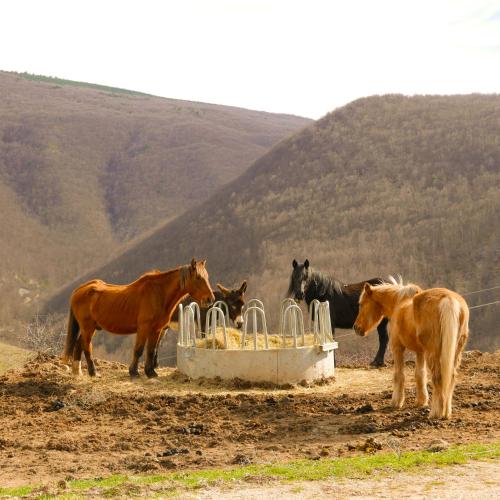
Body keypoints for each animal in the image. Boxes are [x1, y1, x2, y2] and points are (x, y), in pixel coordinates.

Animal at [62, 260, 213, 376]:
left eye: (207, 276)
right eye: (198, 278)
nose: (210, 299)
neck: (158, 293)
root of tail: (79, 290)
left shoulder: (157, 330)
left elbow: (151, 350)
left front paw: (150, 372)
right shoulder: (143, 328)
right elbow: (139, 350)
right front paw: (134, 372)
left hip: (90, 328)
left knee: (79, 344)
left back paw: (78, 371)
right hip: (88, 327)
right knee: (86, 346)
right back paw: (93, 372)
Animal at [354, 280, 466, 420]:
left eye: (361, 304)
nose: (356, 328)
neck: (398, 303)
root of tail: (447, 299)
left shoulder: (397, 348)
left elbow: (399, 375)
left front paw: (396, 402)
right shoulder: (420, 352)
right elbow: (420, 374)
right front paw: (421, 401)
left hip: (433, 353)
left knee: (438, 377)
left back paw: (436, 413)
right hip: (455, 352)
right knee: (451, 377)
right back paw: (446, 412)